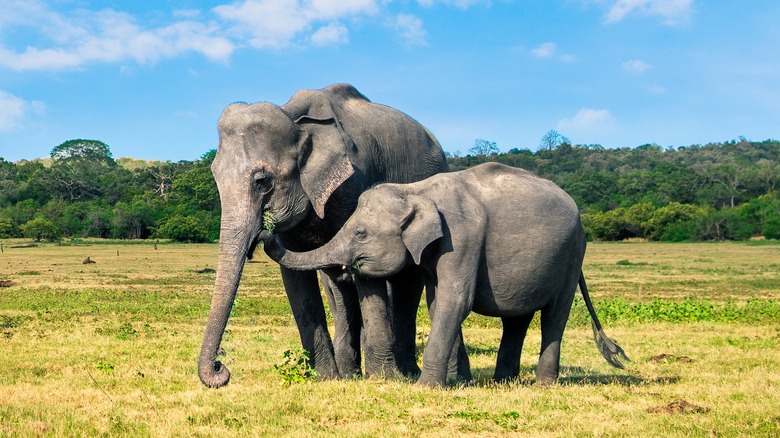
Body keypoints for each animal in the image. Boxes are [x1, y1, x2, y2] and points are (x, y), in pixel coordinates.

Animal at [198, 83, 467, 388]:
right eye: (215, 177)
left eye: (262, 181)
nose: (221, 367)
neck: (294, 116)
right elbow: (298, 282)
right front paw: (326, 378)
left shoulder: (355, 182)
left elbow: (365, 271)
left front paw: (382, 379)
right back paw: (351, 372)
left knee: (406, 282)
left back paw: (407, 372)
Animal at [261, 162, 630, 387]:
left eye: (361, 233)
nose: (268, 226)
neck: (416, 190)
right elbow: (438, 303)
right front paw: (454, 383)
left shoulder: (461, 237)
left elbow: (456, 301)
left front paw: (426, 387)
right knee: (517, 319)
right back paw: (503, 383)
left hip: (571, 256)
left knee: (555, 315)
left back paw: (543, 384)